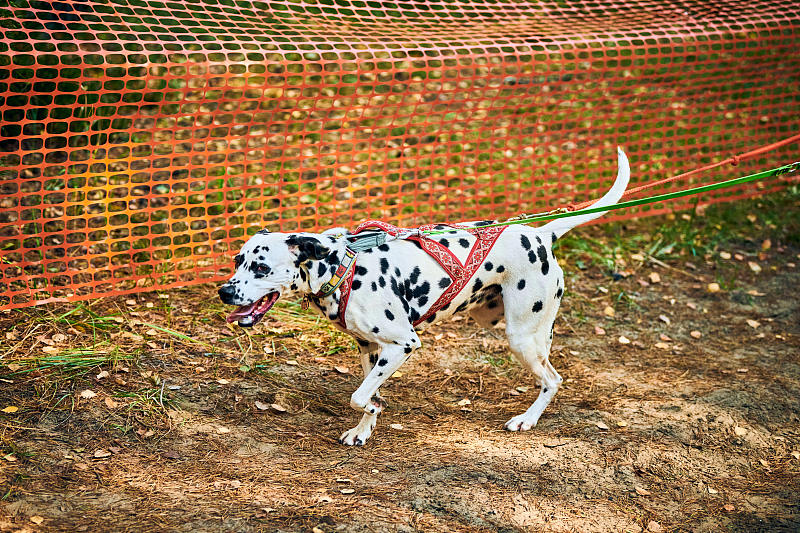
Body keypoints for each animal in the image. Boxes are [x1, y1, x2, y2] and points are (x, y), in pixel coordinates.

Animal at [219, 148, 632, 442]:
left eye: (260, 267)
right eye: (238, 260)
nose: (224, 292)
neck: (342, 266)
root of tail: (540, 234)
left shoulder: (403, 343)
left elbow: (358, 397)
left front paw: (370, 415)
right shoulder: (371, 349)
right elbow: (367, 395)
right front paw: (364, 429)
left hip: (521, 336)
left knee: (553, 379)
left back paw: (527, 419)